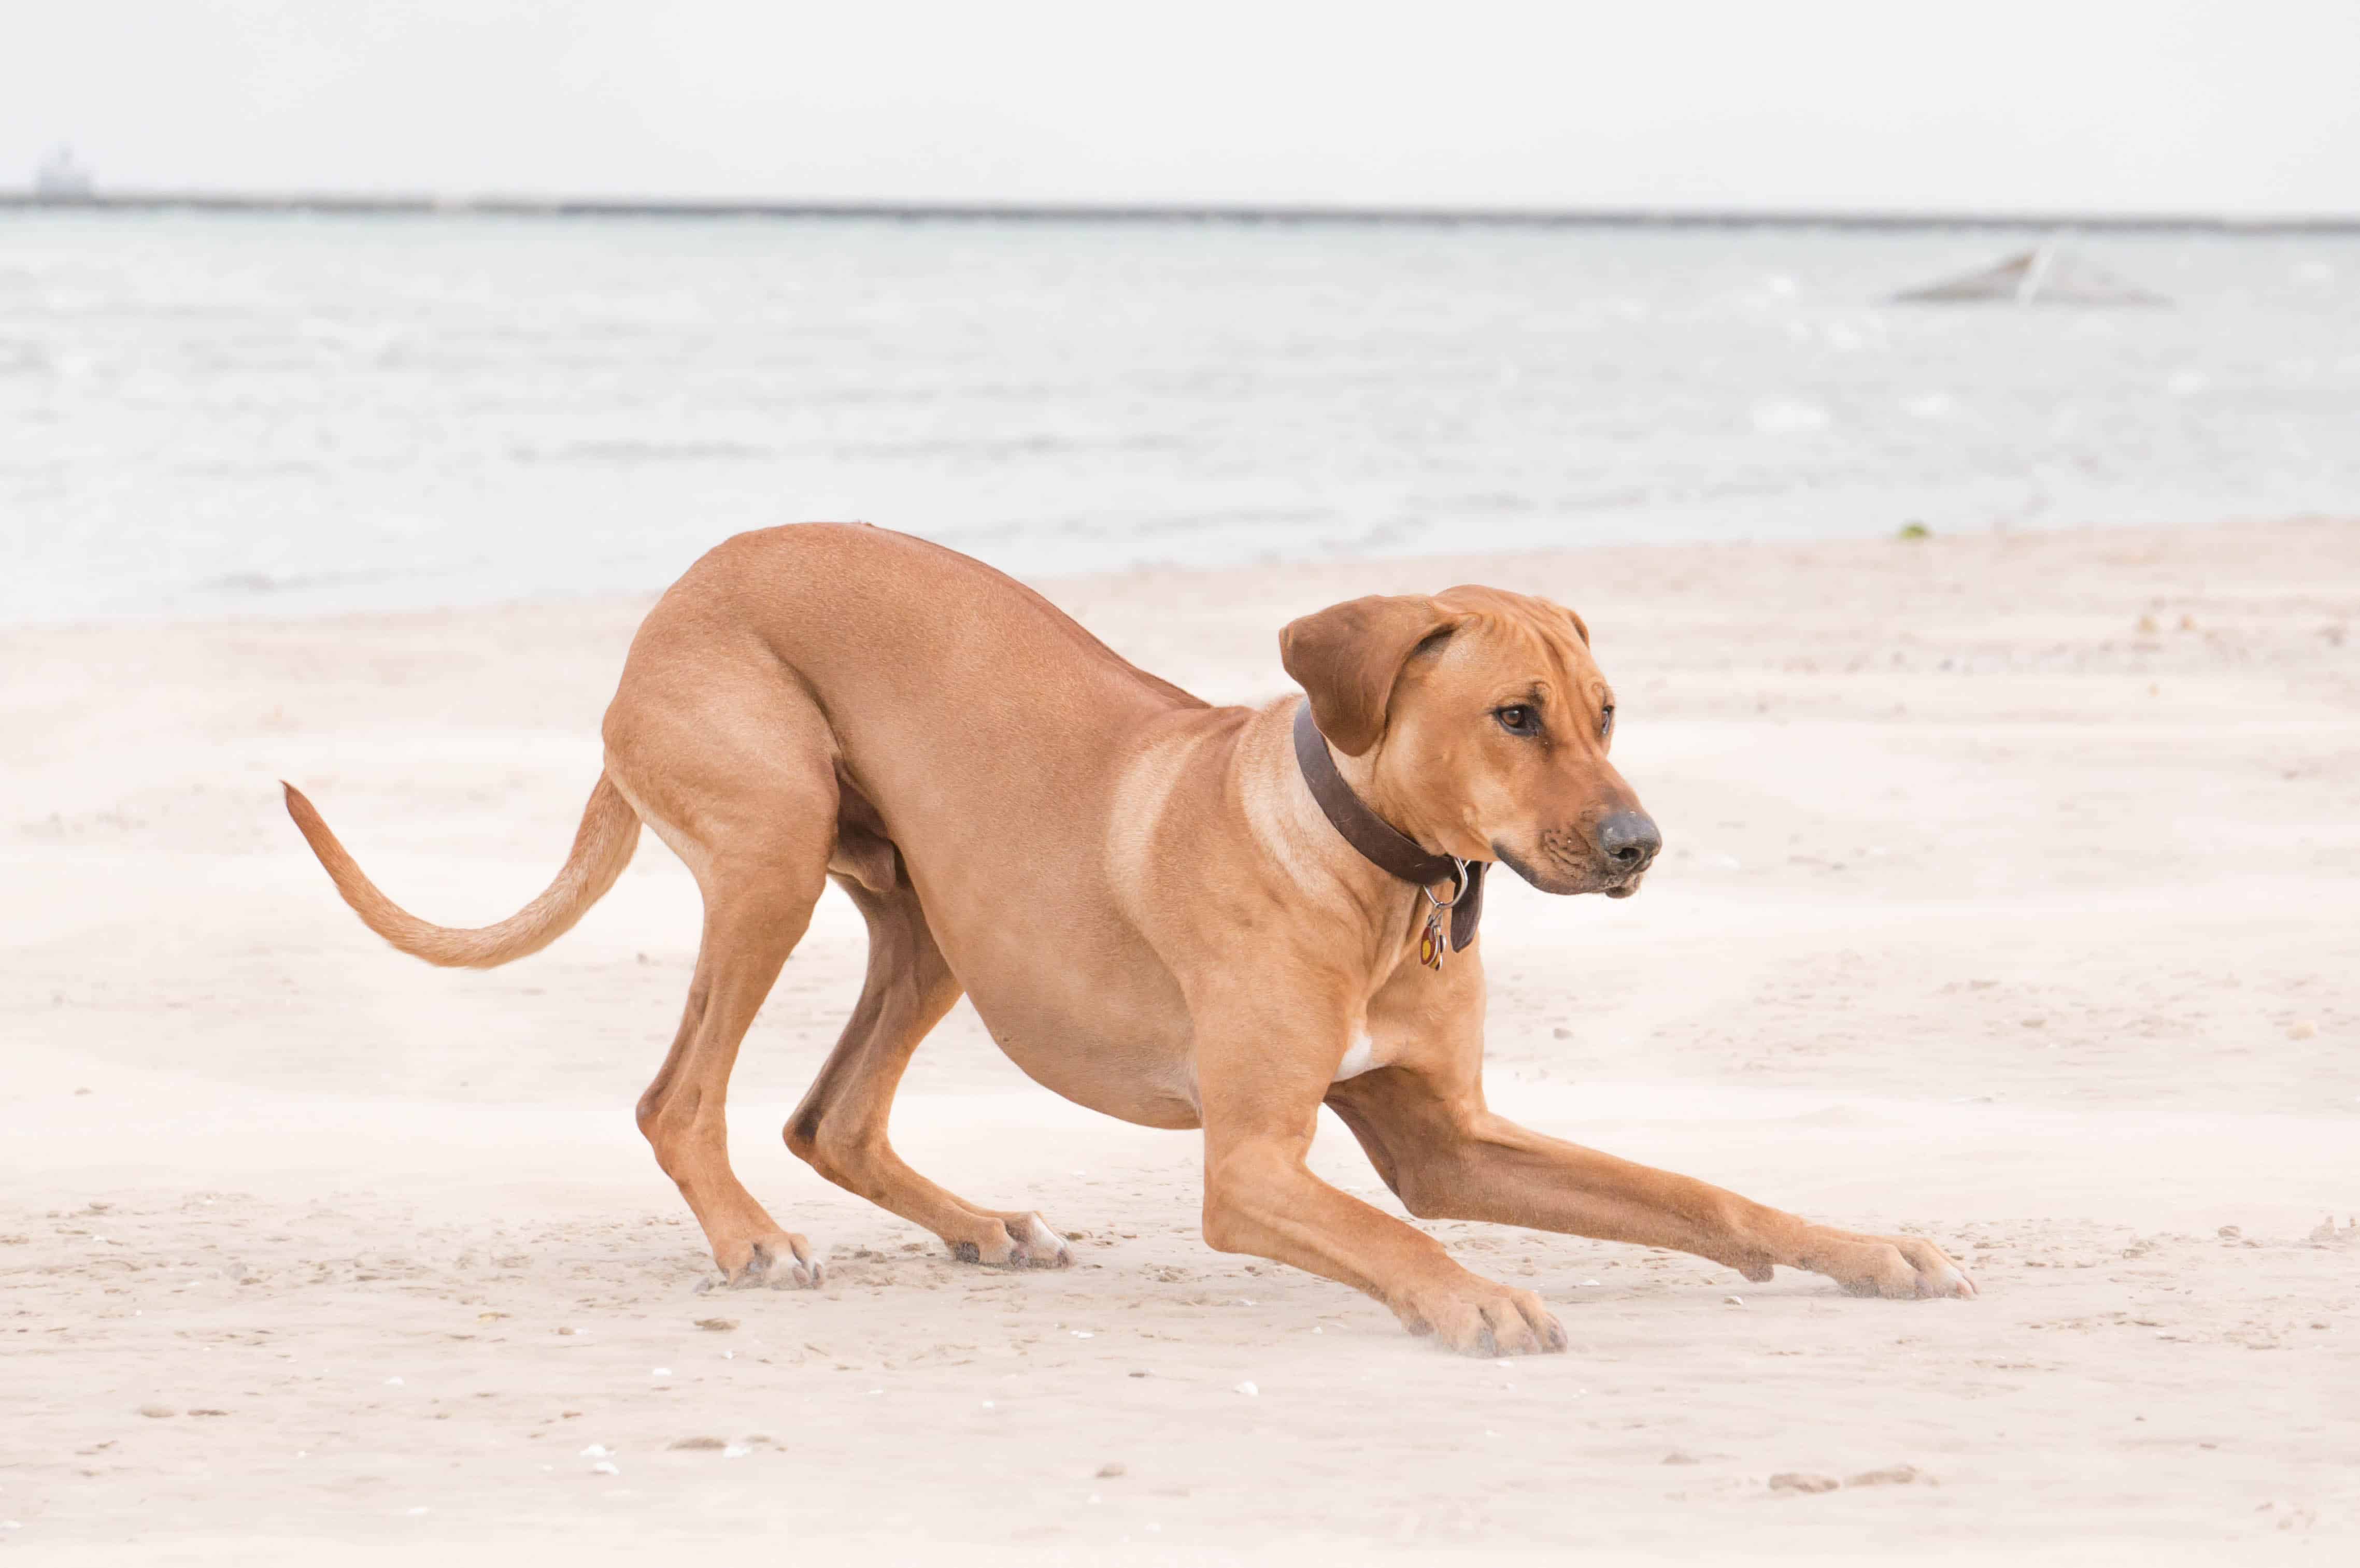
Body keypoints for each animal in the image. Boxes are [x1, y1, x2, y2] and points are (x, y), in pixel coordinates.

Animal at [290, 519, 1973, 1350]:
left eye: (1608, 713)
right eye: (1514, 716)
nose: (1639, 846)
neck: (1376, 876)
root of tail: (675, 593)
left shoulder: (1450, 1136)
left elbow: (1687, 1188)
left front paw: (1864, 1249)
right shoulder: (1253, 1165)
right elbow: (1392, 1231)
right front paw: (1473, 1296)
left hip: (940, 917)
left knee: (830, 1115)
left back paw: (977, 1223)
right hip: (769, 847)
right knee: (678, 1096)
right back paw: (750, 1240)